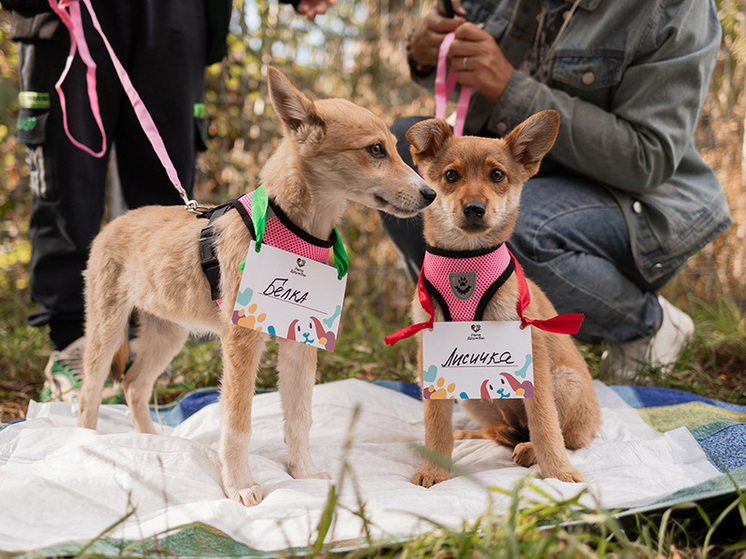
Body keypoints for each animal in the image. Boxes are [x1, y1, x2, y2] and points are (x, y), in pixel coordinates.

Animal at [75, 68, 434, 510]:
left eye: (395, 150)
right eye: (375, 150)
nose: (430, 194)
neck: (294, 231)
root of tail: (115, 222)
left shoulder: (300, 342)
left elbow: (299, 417)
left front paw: (303, 474)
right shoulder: (241, 342)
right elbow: (238, 423)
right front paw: (239, 485)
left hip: (168, 335)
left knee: (133, 386)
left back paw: (152, 443)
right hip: (107, 330)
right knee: (90, 391)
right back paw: (83, 442)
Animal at [404, 112, 600, 486]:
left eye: (497, 175)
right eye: (451, 176)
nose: (474, 209)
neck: (465, 261)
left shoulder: (532, 352)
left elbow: (545, 424)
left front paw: (559, 472)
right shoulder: (431, 355)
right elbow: (435, 423)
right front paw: (435, 468)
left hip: (563, 381)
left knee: (563, 435)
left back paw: (530, 450)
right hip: (474, 398)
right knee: (503, 427)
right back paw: (486, 434)